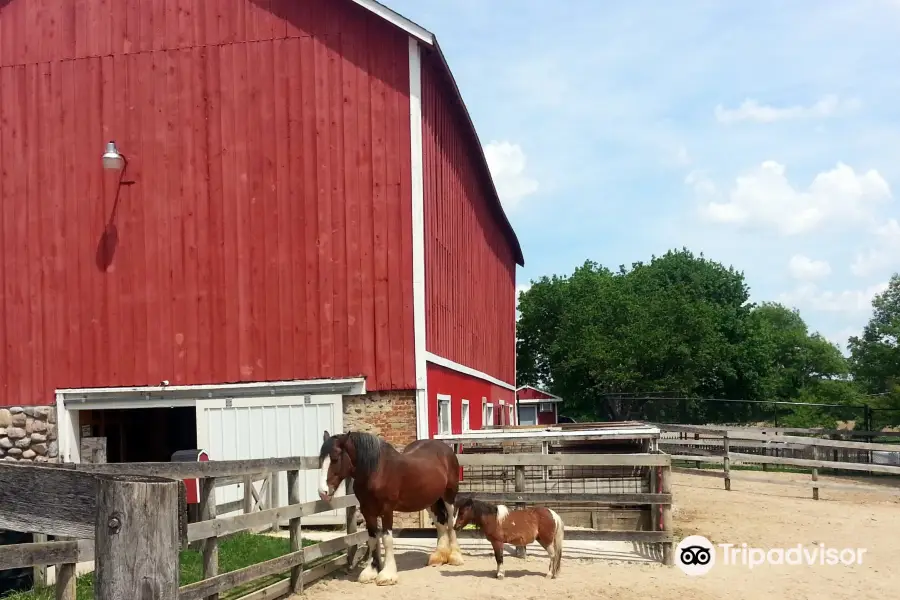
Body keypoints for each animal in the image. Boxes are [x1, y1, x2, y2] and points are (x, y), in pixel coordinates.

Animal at [318, 432, 464, 584]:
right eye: (321, 459)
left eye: (335, 458)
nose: (323, 492)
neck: (376, 471)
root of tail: (445, 448)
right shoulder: (367, 511)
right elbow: (372, 539)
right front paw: (371, 570)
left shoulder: (387, 510)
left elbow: (386, 539)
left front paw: (387, 575)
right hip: (430, 500)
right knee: (440, 522)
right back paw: (438, 557)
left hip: (449, 497)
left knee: (450, 523)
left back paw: (455, 557)